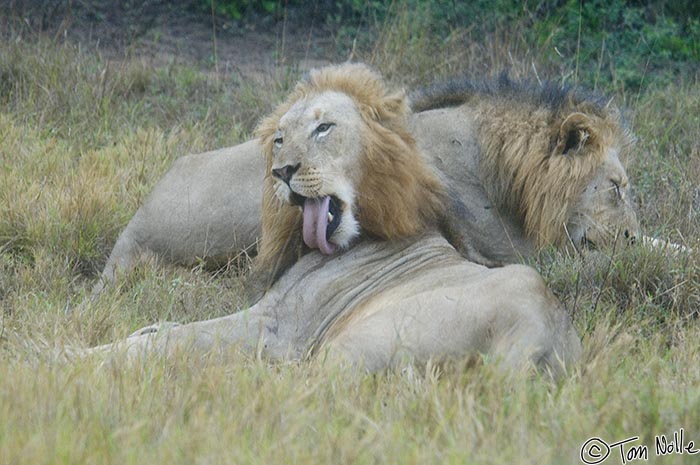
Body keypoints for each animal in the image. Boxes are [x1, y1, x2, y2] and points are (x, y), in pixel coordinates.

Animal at [83, 63, 580, 376]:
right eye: (279, 139)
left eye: (324, 128)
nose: (282, 171)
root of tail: (541, 339)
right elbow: (157, 328)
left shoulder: (277, 329)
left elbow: (169, 339)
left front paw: (72, 358)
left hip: (337, 350)